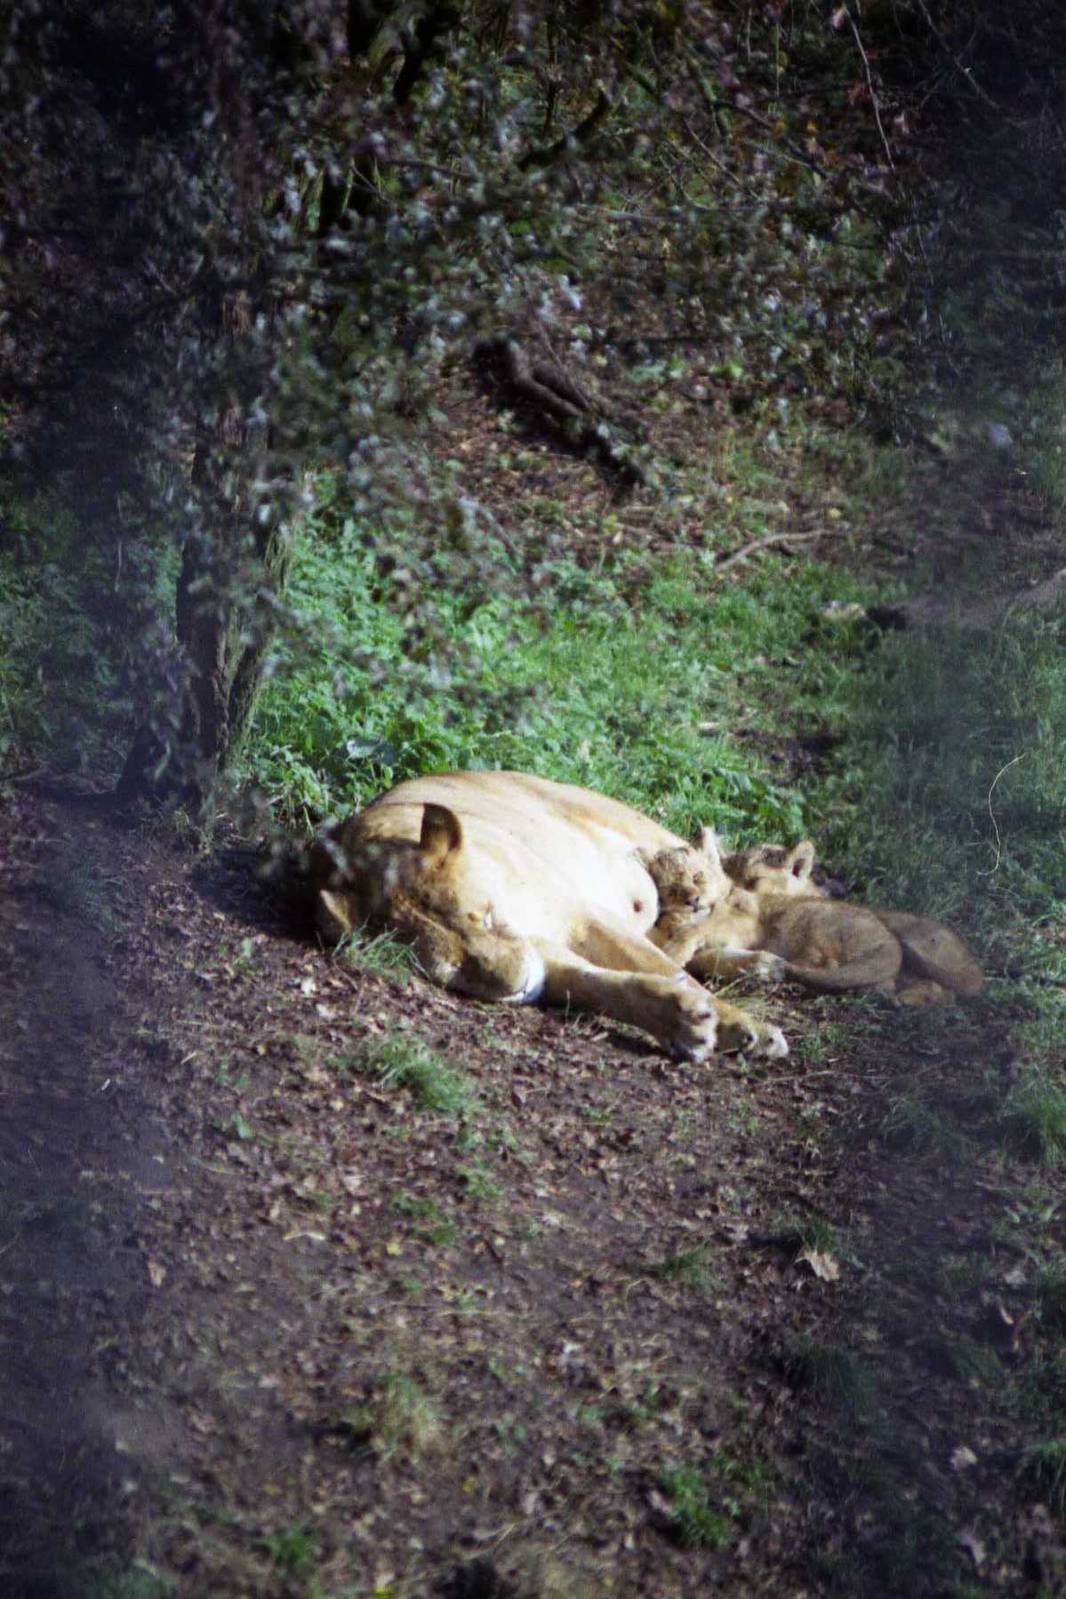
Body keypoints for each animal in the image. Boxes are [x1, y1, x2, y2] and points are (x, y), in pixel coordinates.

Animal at [311, 770, 788, 1063]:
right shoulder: (544, 953)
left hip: (661, 846)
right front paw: (685, 1022)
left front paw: (748, 1028)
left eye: (484, 917)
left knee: (724, 892)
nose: (520, 985)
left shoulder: (583, 914)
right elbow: (609, 986)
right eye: (453, 970)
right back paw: (760, 967)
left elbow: (666, 969)